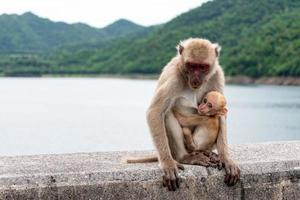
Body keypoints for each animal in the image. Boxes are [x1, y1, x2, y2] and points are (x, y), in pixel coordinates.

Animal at [146, 38, 240, 191]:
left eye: (202, 67)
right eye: (191, 65)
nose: (196, 78)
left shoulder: (217, 74)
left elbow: (221, 114)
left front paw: (226, 159)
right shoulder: (174, 76)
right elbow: (155, 112)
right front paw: (167, 164)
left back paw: (208, 153)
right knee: (167, 114)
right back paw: (184, 157)